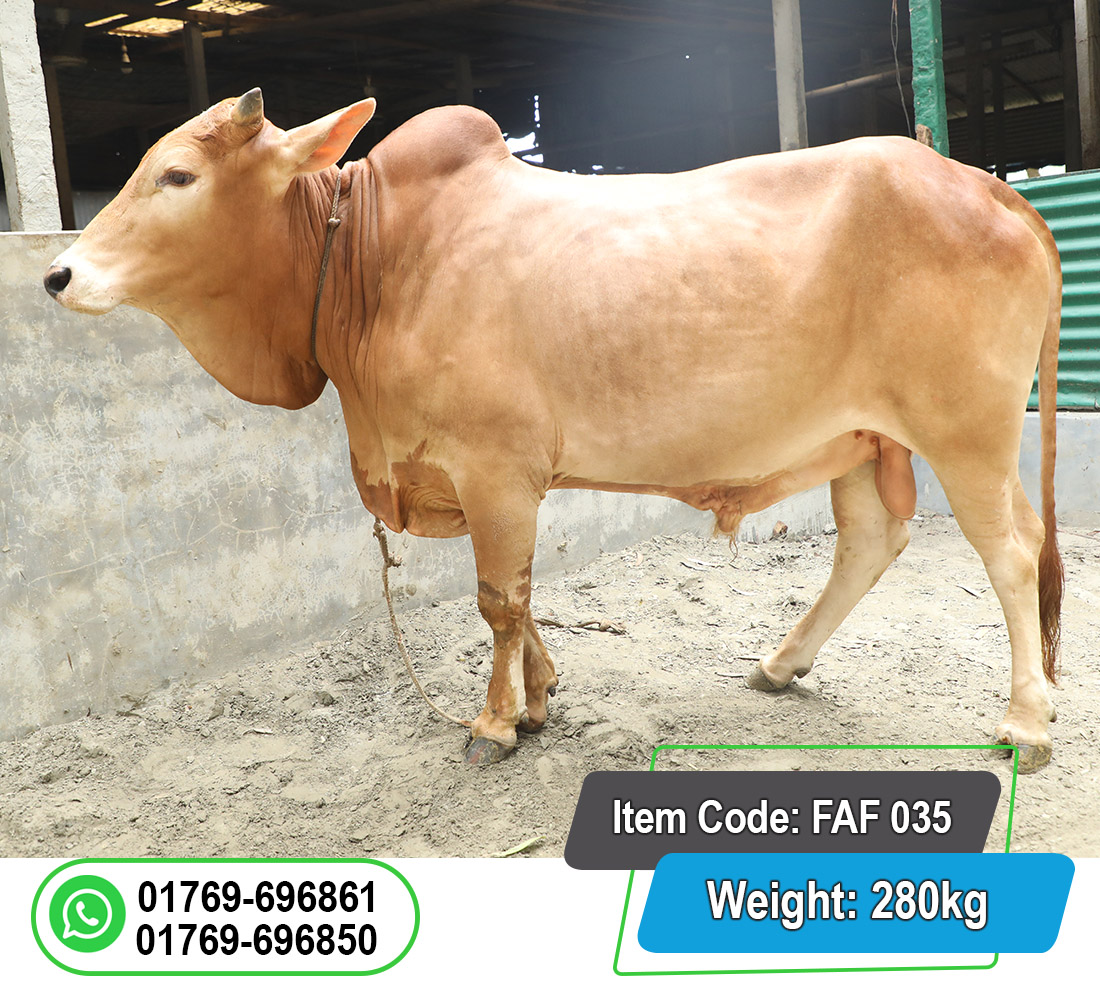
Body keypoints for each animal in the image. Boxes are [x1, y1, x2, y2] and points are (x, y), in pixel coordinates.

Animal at [44, 89, 1063, 770]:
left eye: (177, 174)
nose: (57, 273)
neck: (375, 254)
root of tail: (988, 186)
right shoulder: (496, 481)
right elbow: (524, 595)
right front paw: (541, 697)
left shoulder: (494, 470)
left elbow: (498, 599)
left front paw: (497, 723)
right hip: (862, 437)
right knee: (874, 542)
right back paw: (782, 663)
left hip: (966, 432)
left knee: (1011, 552)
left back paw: (1025, 722)